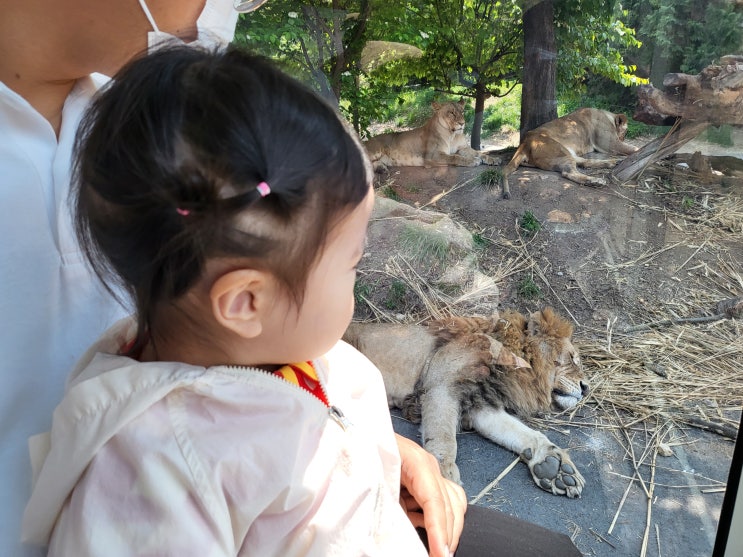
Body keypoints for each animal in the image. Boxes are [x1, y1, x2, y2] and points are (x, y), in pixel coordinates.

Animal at [344, 306, 592, 498]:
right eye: (572, 358)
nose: (586, 388)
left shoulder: (481, 406)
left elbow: (525, 433)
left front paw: (555, 468)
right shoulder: (442, 387)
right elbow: (444, 439)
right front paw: (442, 478)